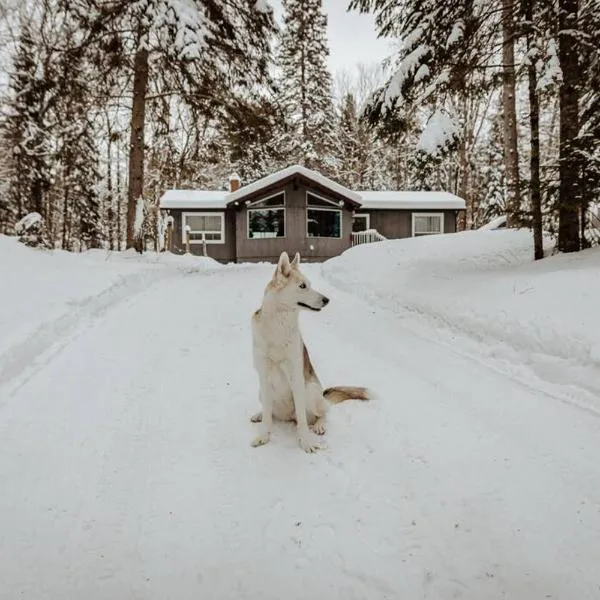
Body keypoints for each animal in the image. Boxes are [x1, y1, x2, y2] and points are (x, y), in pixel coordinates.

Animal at [248, 251, 370, 452]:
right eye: (302, 286)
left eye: (309, 284)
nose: (327, 300)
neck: (278, 326)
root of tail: (288, 416)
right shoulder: (263, 376)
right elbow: (267, 419)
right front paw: (263, 436)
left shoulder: (296, 378)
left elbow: (303, 423)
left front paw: (305, 442)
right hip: (262, 392)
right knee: (271, 413)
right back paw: (259, 414)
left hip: (310, 390)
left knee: (320, 413)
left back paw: (319, 425)